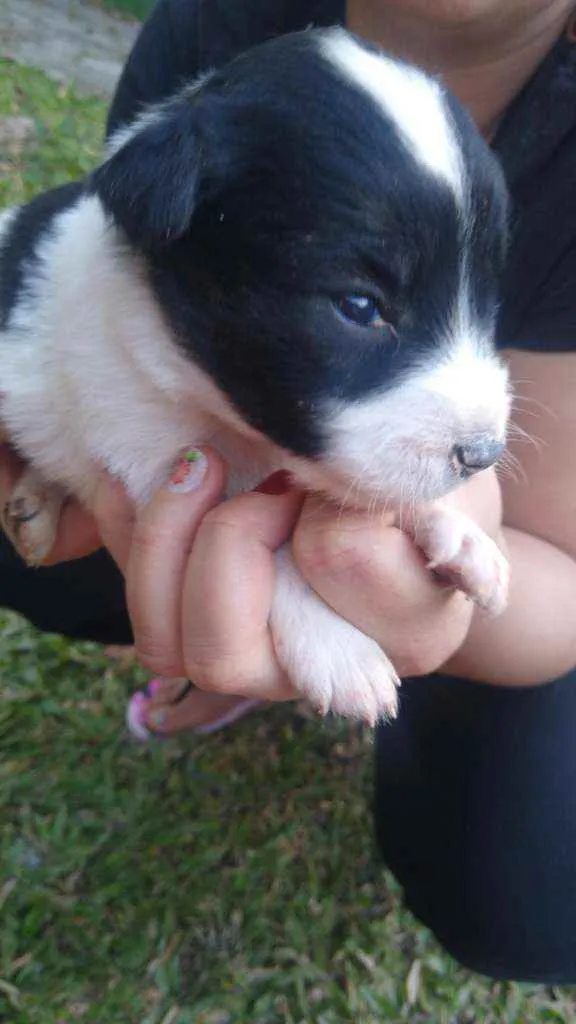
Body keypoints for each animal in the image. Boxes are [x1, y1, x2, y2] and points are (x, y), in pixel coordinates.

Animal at [0, 28, 508, 724]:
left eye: (485, 299)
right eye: (359, 307)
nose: (483, 455)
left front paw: (458, 532)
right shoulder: (151, 454)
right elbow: (270, 553)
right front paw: (337, 646)